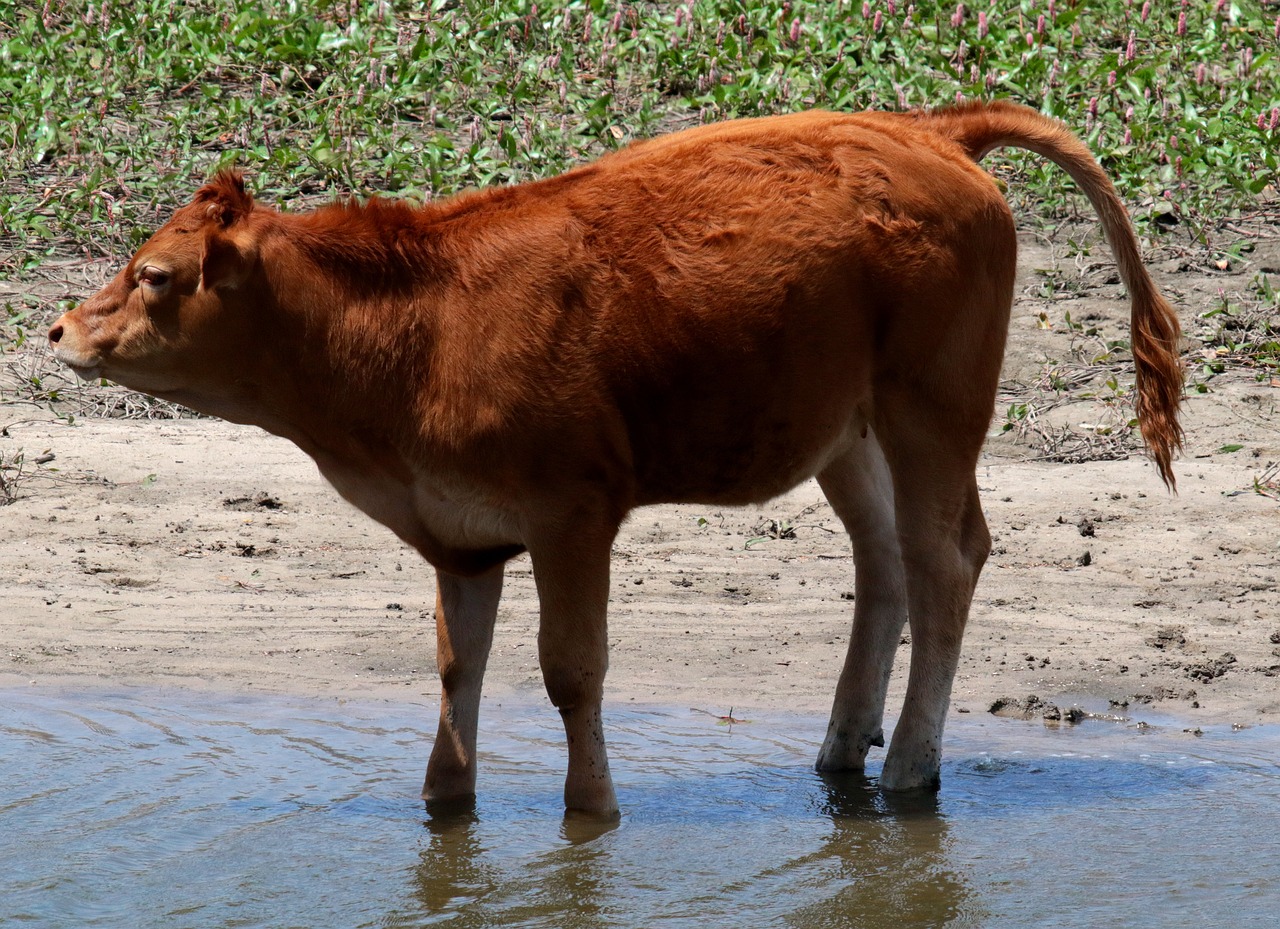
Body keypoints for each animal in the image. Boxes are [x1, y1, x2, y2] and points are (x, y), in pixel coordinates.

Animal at [49, 101, 1183, 817]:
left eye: (155, 274)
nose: (58, 328)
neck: (419, 325)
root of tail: (928, 129)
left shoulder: (572, 513)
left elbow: (570, 669)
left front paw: (589, 809)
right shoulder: (459, 536)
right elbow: (458, 666)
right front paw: (444, 805)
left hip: (930, 410)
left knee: (946, 560)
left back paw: (907, 767)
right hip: (846, 427)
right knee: (886, 562)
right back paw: (840, 750)